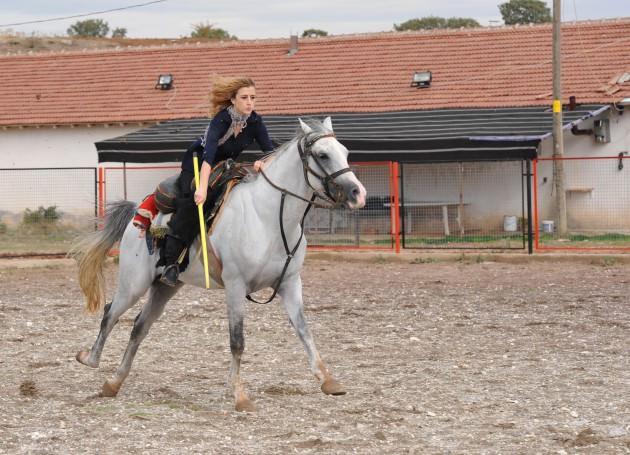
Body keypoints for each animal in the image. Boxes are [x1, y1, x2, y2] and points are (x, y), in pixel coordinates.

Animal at [73, 117, 370, 414]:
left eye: (345, 152)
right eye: (322, 155)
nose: (358, 193)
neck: (267, 217)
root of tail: (139, 212)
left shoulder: (290, 283)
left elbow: (304, 331)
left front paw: (328, 380)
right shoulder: (235, 286)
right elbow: (237, 341)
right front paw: (240, 396)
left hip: (165, 286)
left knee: (139, 327)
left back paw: (114, 382)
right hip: (134, 283)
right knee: (111, 313)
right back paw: (90, 359)